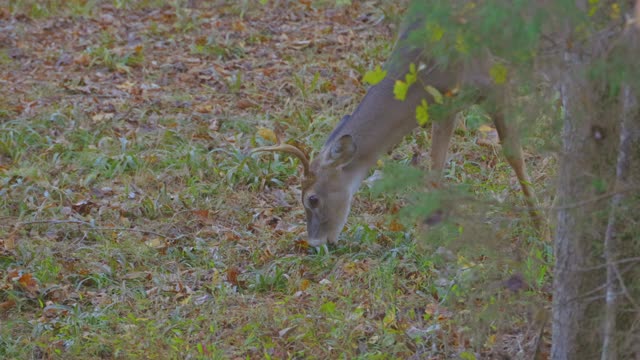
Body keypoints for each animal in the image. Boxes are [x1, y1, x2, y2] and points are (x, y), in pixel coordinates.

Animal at [251, 12, 540, 248]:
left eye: (312, 199)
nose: (314, 243)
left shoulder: (494, 80)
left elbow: (514, 154)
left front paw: (540, 225)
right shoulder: (444, 105)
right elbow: (434, 168)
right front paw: (425, 238)